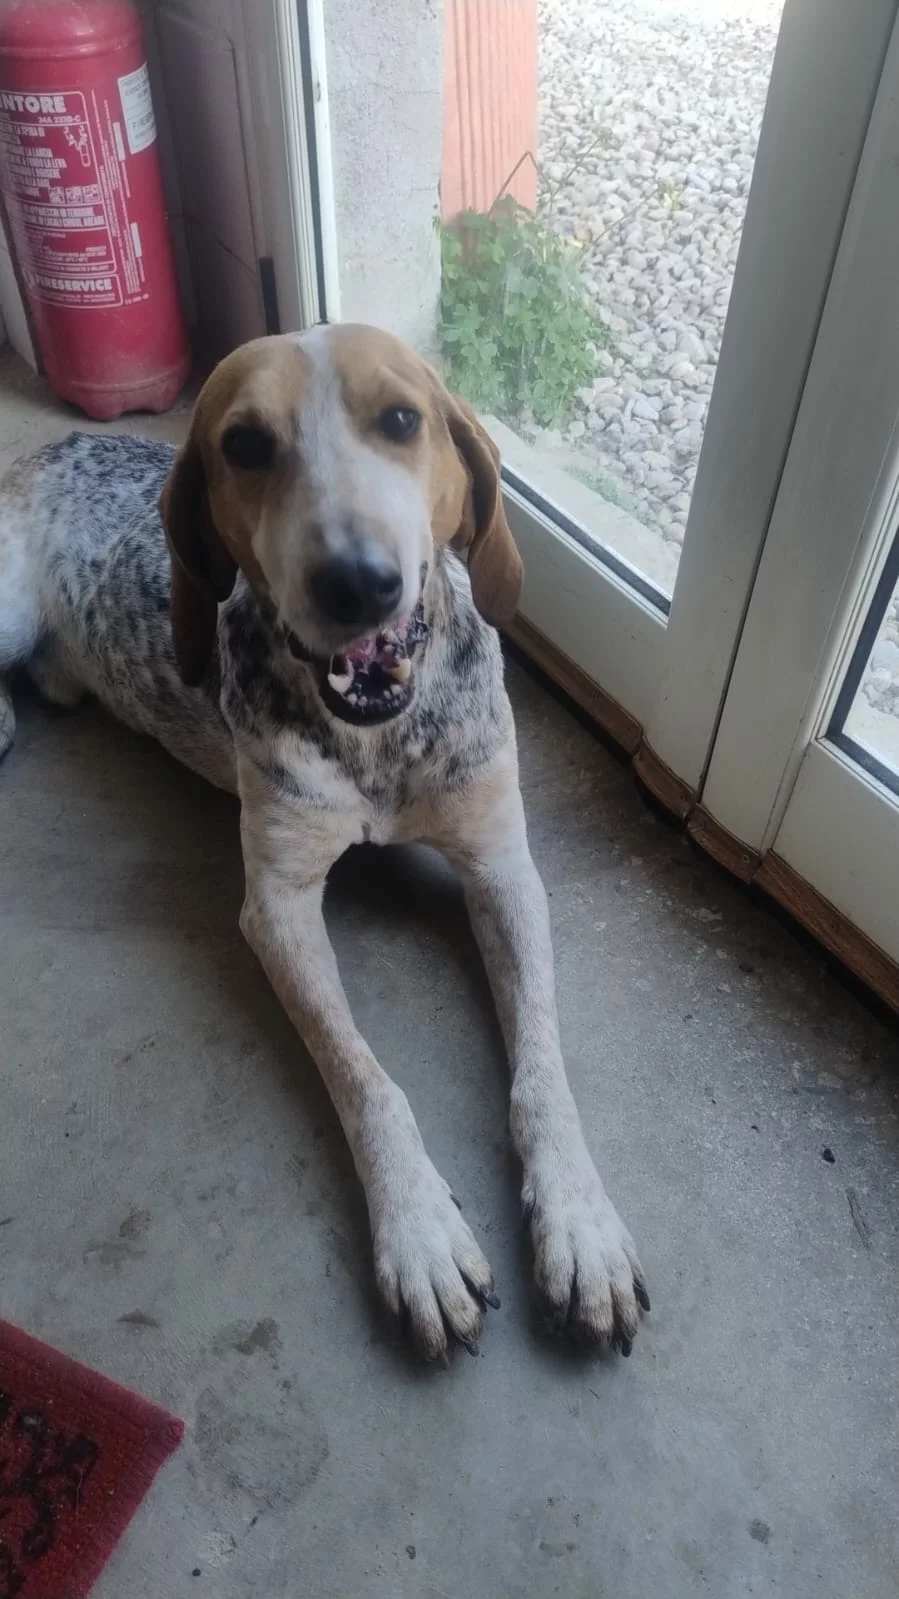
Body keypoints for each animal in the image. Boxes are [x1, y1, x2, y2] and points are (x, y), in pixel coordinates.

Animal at [0, 324, 648, 1361]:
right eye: (244, 445)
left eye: (402, 419)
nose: (354, 581)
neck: (377, 737)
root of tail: (55, 443)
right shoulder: (278, 905)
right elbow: (367, 1079)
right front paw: (418, 1230)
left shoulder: (502, 868)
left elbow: (541, 1072)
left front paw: (579, 1223)